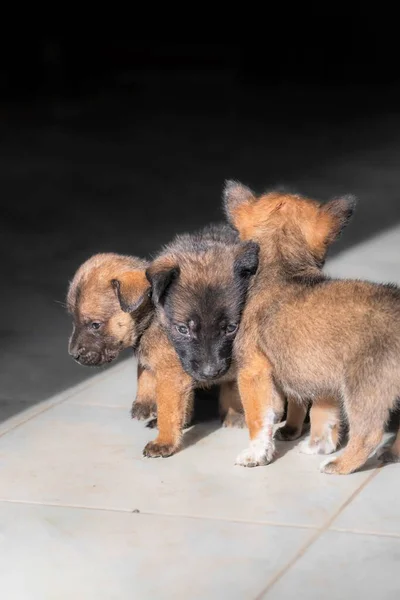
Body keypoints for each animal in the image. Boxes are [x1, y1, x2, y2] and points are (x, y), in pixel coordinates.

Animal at [223, 180, 400, 476]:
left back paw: (340, 464)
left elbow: (258, 421)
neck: (282, 267)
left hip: (364, 389)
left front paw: (255, 455)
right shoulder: (324, 383)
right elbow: (323, 416)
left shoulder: (252, 374)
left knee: (369, 434)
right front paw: (317, 445)